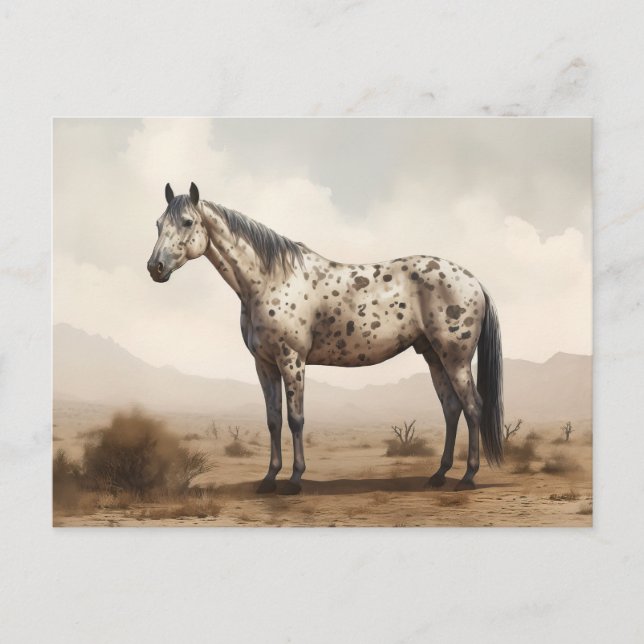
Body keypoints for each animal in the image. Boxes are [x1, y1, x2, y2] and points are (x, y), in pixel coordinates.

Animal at [147, 183, 503, 494]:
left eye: (187, 221)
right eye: (158, 223)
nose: (155, 267)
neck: (269, 280)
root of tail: (474, 281)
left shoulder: (292, 360)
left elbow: (296, 419)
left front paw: (294, 481)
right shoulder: (264, 364)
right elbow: (273, 421)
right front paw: (268, 480)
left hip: (455, 356)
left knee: (473, 407)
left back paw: (467, 478)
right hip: (433, 355)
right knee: (451, 409)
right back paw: (439, 475)